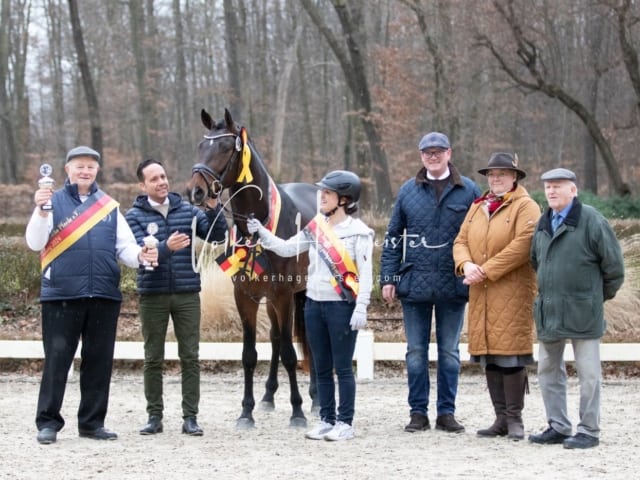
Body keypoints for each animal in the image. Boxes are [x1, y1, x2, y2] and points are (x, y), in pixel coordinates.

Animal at [189, 108, 318, 428]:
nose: (196, 191)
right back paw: (269, 396)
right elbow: (249, 353)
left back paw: (316, 398)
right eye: (201, 145)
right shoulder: (246, 297)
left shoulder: (284, 295)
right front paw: (246, 412)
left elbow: (289, 353)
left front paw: (297, 411)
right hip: (271, 301)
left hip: (300, 294)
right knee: (275, 338)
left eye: (225, 148)